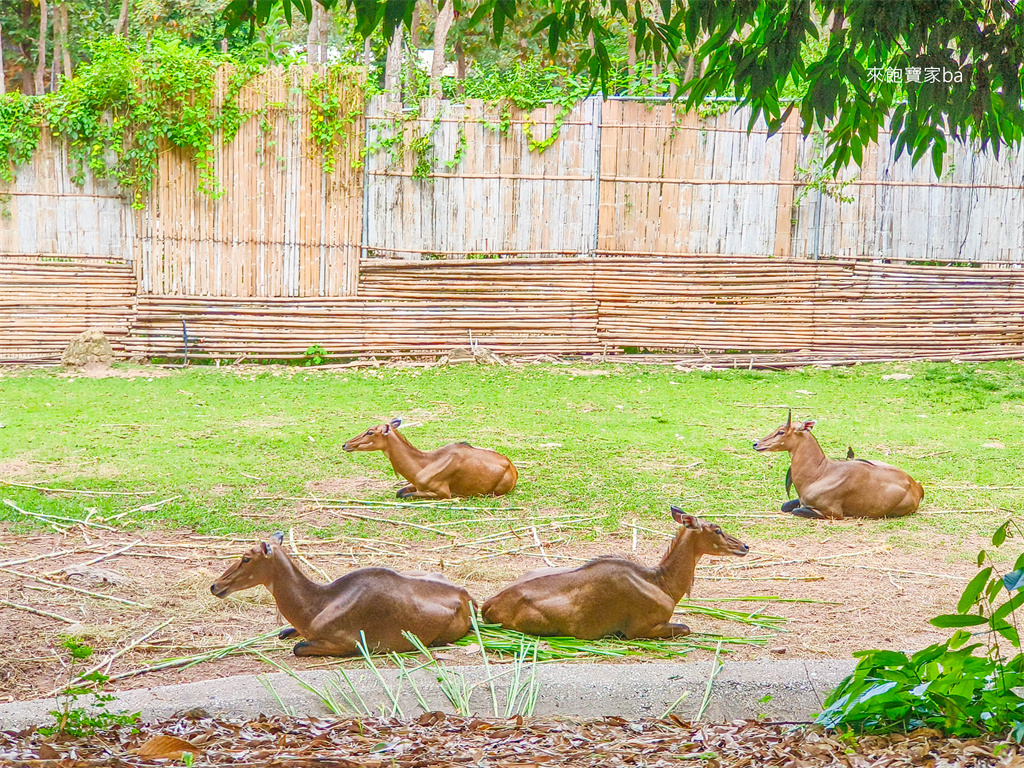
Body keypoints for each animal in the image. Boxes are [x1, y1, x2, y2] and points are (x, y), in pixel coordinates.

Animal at [215, 536, 475, 655]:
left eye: (246, 558)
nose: (215, 586)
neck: (318, 603)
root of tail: (465, 596)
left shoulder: (348, 644)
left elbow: (298, 647)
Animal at [344, 417, 520, 501]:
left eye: (370, 432)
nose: (345, 444)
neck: (423, 464)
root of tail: (512, 468)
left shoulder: (443, 493)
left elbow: (405, 495)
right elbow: (400, 492)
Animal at [475, 507, 749, 638]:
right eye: (717, 529)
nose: (745, 546)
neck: (661, 583)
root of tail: (487, 605)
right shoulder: (639, 629)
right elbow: (685, 627)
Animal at [757, 409, 925, 524]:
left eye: (781, 432)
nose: (756, 444)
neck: (819, 473)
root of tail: (916, 486)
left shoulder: (833, 512)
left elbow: (795, 510)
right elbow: (786, 505)